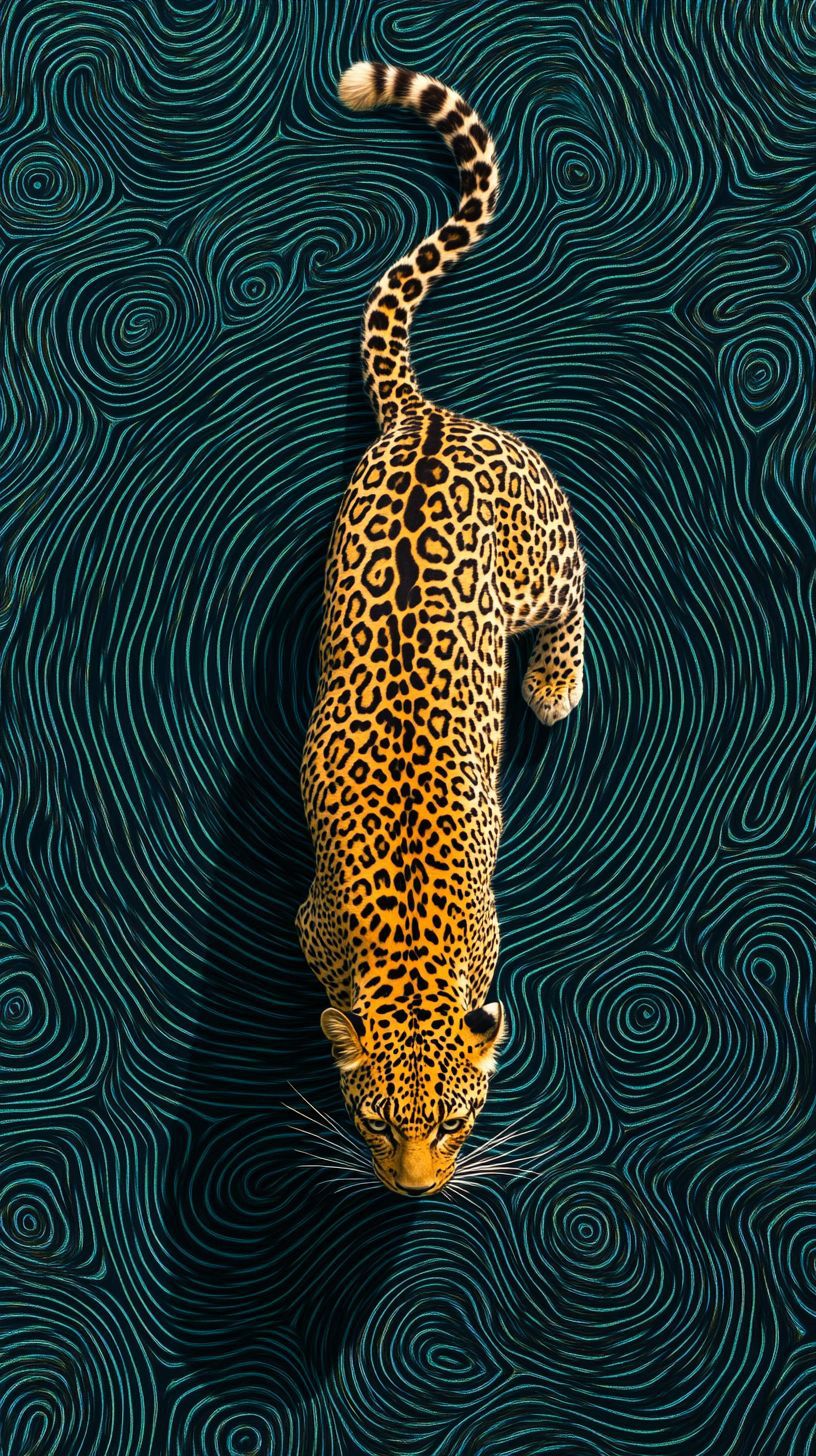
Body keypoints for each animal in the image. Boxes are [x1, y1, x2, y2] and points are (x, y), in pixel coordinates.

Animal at [296, 60, 585, 1197]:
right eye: (375, 1122)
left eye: (458, 1121)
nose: (415, 1191)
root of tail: (423, 419)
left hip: (537, 552)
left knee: (577, 575)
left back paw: (554, 685)